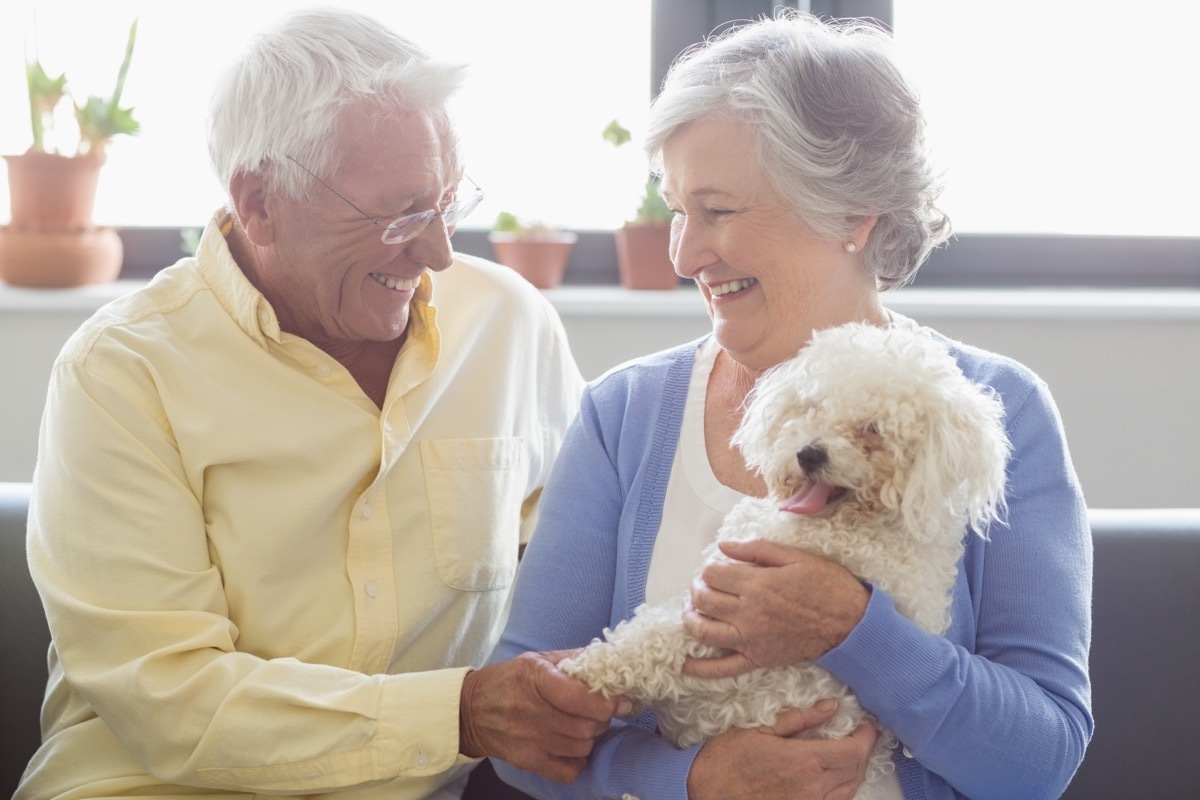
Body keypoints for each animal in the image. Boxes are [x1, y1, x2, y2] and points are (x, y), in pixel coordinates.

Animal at [556, 321, 1008, 796]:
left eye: (873, 429)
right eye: (813, 406)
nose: (808, 453)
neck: (857, 526)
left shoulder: (722, 618)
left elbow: (651, 642)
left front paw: (586, 673)